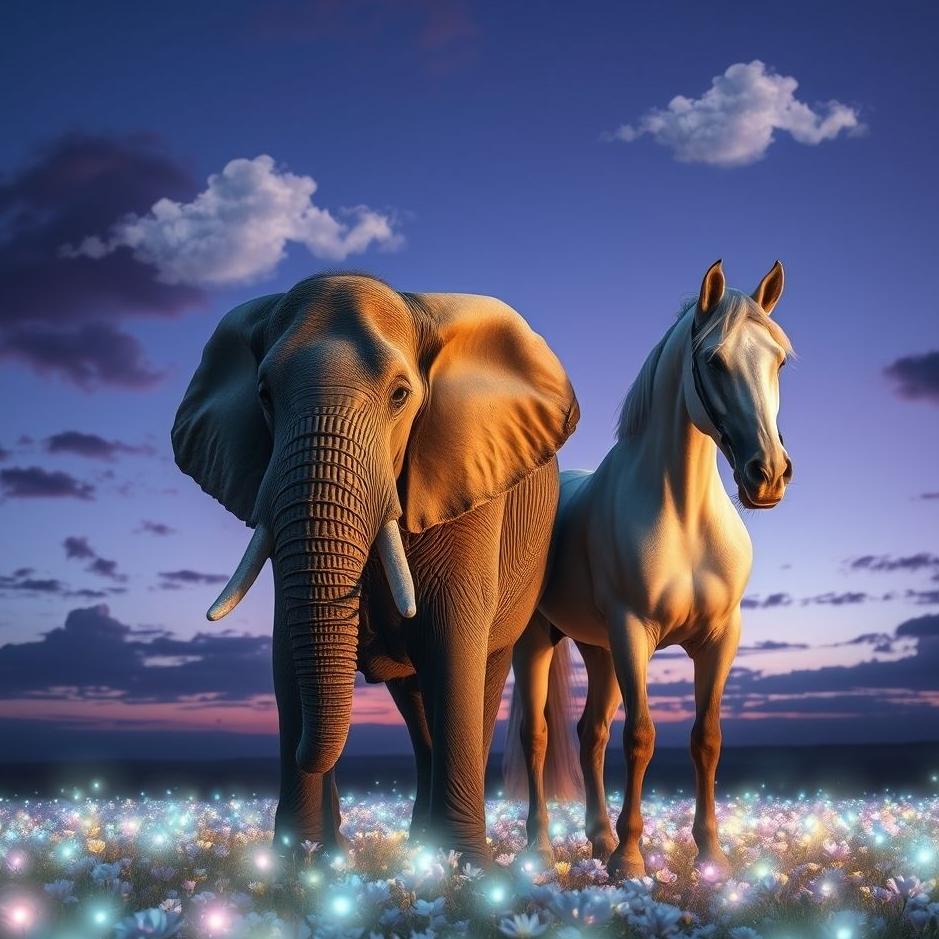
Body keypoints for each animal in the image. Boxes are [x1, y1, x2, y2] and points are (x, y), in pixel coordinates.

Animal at [171, 272, 578, 862]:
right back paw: (415, 847)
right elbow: (286, 651)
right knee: (415, 707)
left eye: (400, 395)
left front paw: (466, 868)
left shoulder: (470, 482)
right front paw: (299, 861)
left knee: (477, 680)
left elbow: (453, 643)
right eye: (265, 395)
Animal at [507, 259, 794, 880]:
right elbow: (640, 736)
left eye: (780, 360)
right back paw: (540, 847)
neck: (684, 516)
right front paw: (630, 858)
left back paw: (594, 837)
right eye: (714, 360)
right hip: (540, 640)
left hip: (598, 650)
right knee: (536, 735)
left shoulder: (720, 638)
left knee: (589, 733)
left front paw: (711, 855)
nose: (768, 475)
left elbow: (706, 738)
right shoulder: (633, 631)